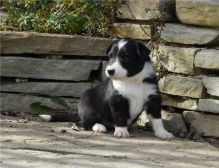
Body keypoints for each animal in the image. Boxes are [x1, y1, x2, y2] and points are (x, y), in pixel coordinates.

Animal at [40, 39, 174, 139]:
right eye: (110, 56)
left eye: (125, 56)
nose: (109, 71)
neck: (132, 80)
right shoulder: (117, 99)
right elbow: (120, 115)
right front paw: (121, 131)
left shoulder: (153, 98)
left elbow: (157, 119)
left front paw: (163, 133)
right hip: (87, 105)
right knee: (85, 123)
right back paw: (99, 127)